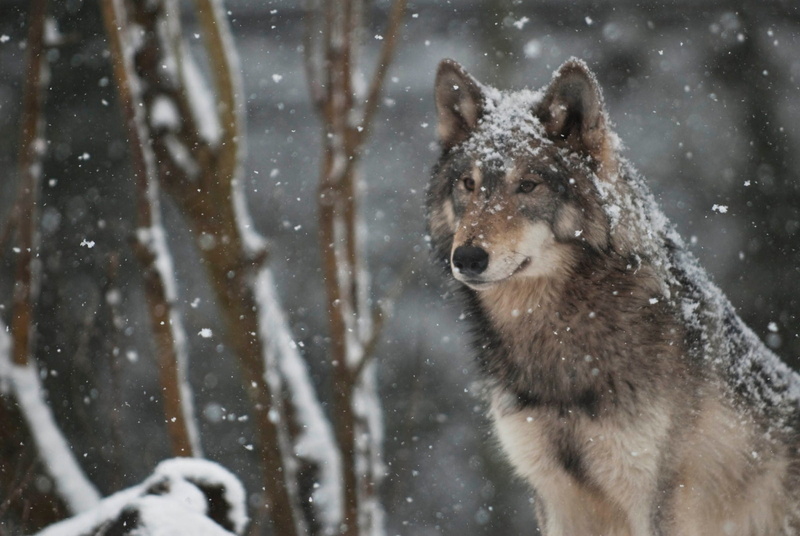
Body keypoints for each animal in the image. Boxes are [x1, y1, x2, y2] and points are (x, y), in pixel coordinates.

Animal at [426, 57, 800, 536]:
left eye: (528, 185)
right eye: (468, 184)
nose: (468, 257)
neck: (560, 341)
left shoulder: (657, 499)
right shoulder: (555, 499)